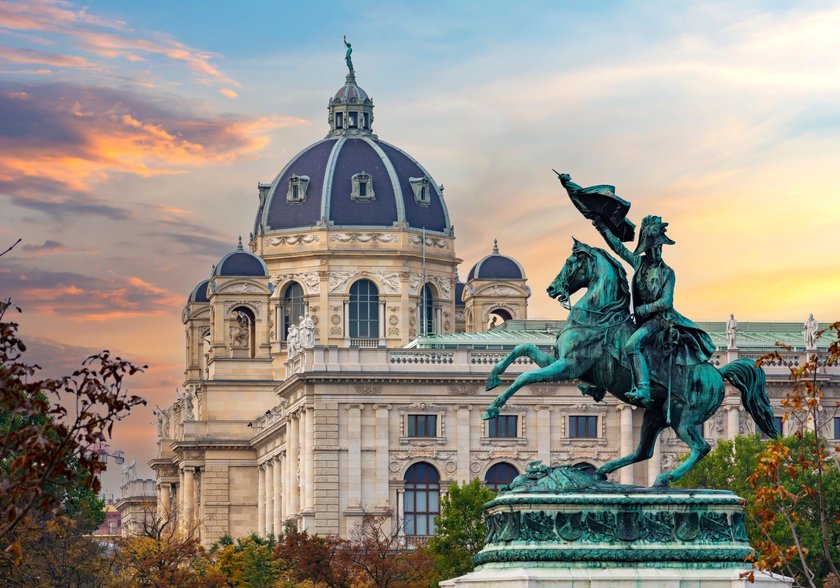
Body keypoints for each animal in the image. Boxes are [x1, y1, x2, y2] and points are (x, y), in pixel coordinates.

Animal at [482, 239, 776, 486]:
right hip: (655, 415)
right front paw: (493, 377)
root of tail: (717, 372)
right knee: (643, 451)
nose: (551, 288)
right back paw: (602, 472)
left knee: (700, 448)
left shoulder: (568, 366)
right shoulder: (560, 362)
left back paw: (663, 478)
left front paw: (492, 409)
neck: (599, 318)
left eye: (570, 262)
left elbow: (524, 377)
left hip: (684, 418)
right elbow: (523, 348)